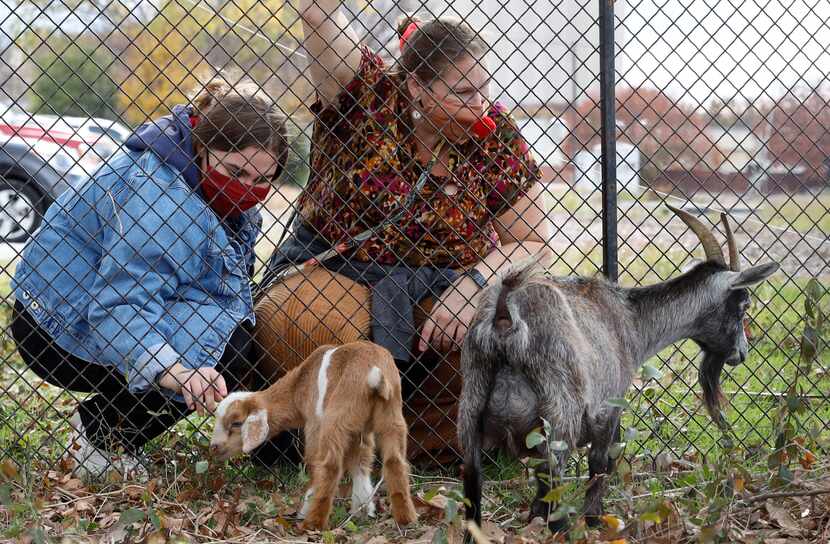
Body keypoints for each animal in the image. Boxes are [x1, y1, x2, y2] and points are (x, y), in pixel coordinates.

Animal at [211, 340, 420, 532]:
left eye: (236, 423)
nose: (213, 448)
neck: (298, 386)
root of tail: (374, 375)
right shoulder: (360, 433)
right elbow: (360, 464)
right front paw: (361, 510)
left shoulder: (314, 423)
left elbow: (314, 464)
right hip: (392, 415)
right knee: (395, 461)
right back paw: (407, 519)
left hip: (336, 417)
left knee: (331, 466)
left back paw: (312, 523)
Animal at [462, 204, 780, 532]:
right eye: (743, 305)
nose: (741, 353)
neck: (631, 319)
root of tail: (505, 317)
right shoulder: (608, 408)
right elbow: (601, 463)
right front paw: (594, 520)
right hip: (559, 419)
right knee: (551, 493)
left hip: (471, 415)